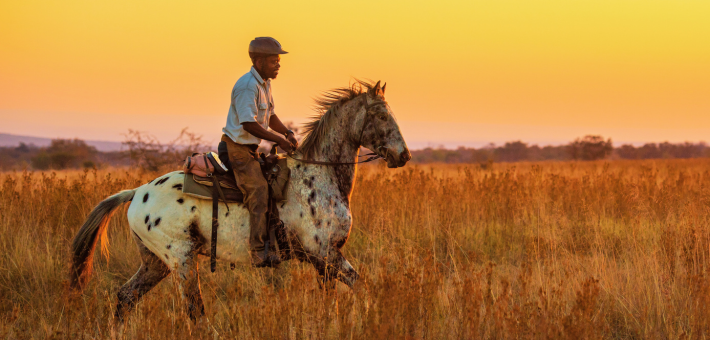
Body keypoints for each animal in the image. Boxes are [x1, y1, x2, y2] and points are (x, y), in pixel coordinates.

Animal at [69, 79, 412, 322]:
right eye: (382, 115)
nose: (403, 155)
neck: (319, 175)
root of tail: (138, 192)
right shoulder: (326, 255)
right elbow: (361, 286)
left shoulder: (323, 261)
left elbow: (334, 302)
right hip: (181, 260)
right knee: (193, 310)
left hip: (154, 263)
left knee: (125, 297)